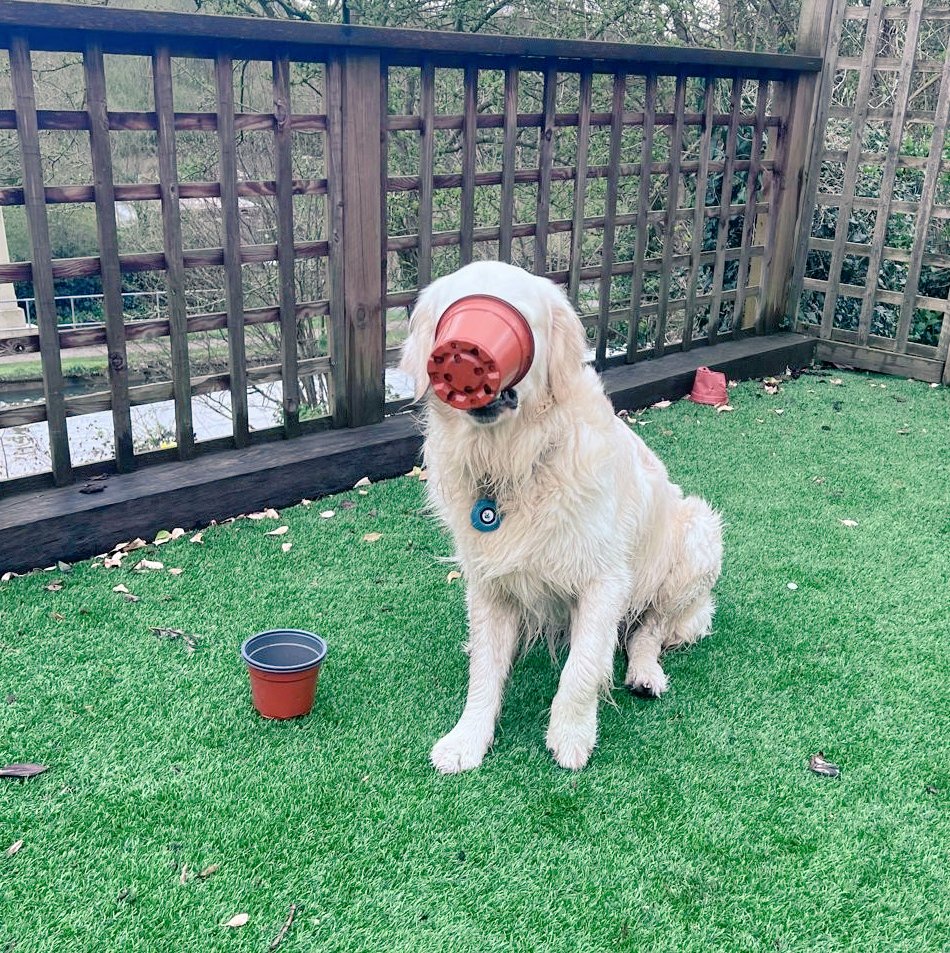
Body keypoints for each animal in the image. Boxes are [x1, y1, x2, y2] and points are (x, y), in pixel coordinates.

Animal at [400, 260, 720, 772]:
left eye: (518, 317)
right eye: (450, 316)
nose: (465, 348)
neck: (512, 460)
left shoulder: (605, 579)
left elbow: (583, 666)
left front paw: (570, 736)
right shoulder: (487, 583)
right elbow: (484, 671)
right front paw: (467, 740)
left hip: (697, 534)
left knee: (649, 629)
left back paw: (645, 673)